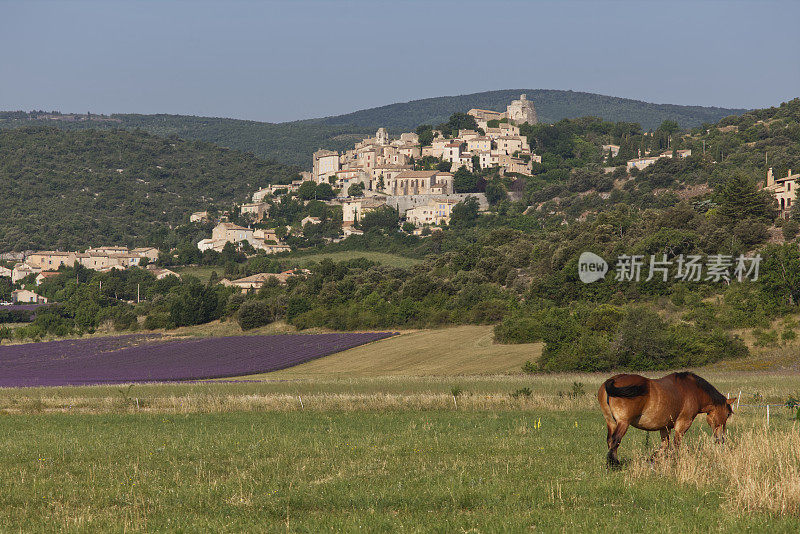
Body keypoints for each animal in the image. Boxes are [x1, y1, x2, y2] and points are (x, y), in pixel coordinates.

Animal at [596, 372, 736, 468]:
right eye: (728, 414)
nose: (721, 439)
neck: (693, 390)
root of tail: (614, 379)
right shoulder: (682, 424)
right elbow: (676, 444)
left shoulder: (665, 427)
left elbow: (664, 445)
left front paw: (653, 460)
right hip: (623, 423)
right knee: (615, 441)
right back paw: (614, 464)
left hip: (611, 422)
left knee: (610, 441)